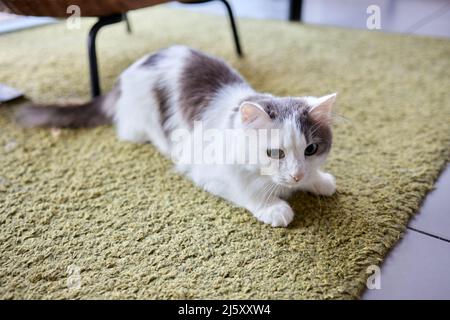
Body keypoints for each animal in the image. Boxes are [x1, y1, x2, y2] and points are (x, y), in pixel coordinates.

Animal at [17, 46, 338, 229]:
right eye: (274, 153)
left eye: (311, 149)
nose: (296, 176)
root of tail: (127, 73)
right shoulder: (208, 172)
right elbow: (248, 191)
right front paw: (273, 207)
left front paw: (317, 180)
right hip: (141, 124)